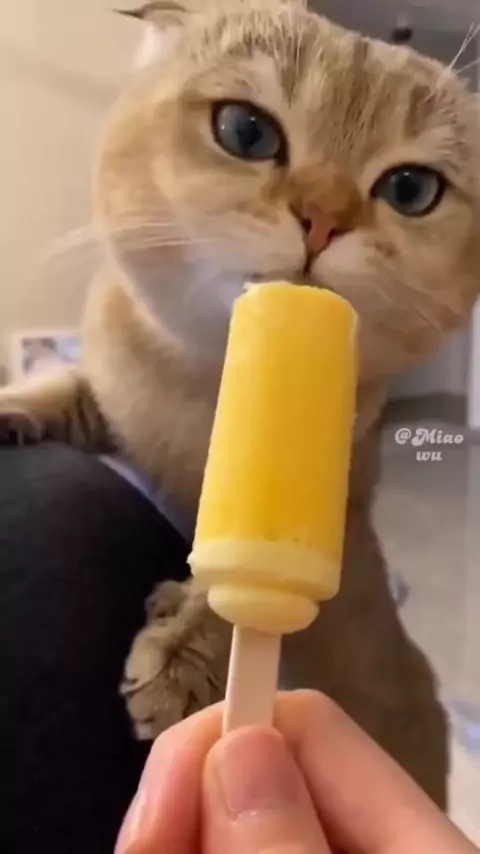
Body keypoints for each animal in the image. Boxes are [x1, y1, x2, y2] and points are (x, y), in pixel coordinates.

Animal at [2, 0, 480, 809]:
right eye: (247, 132)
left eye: (412, 190)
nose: (322, 216)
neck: (191, 380)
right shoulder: (112, 392)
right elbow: (63, 387)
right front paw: (10, 405)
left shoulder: (344, 513)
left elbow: (232, 599)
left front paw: (181, 654)